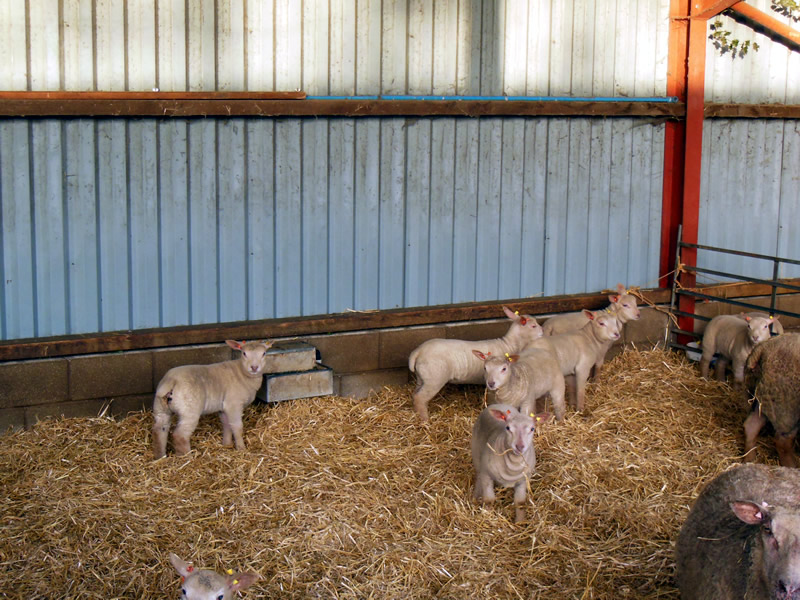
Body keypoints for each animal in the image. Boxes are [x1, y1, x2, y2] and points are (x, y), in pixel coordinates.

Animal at [408, 306, 544, 421]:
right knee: (420, 398)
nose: (542, 331)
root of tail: (418, 351)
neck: (509, 344)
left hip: (422, 377)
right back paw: (425, 420)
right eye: (533, 326)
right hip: (434, 378)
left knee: (415, 395)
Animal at [742, 333, 800, 467]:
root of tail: (763, 347)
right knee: (782, 442)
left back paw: (749, 459)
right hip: (787, 408)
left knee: (751, 426)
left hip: (765, 398)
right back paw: (792, 466)